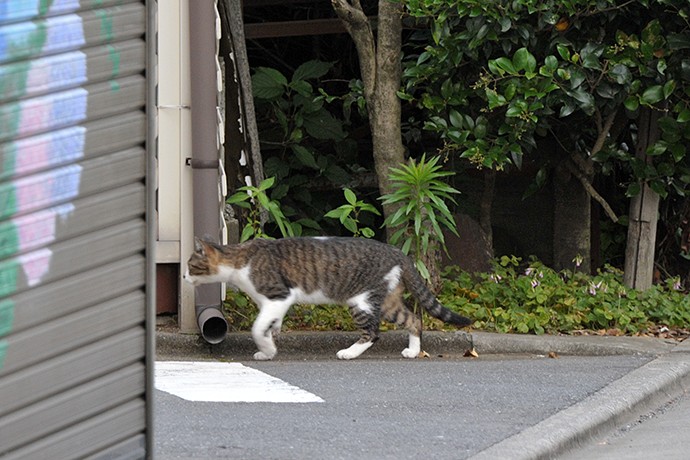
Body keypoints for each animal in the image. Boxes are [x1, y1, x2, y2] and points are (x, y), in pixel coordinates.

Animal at [185, 237, 470, 360]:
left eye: (189, 265)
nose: (184, 277)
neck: (239, 259)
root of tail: (398, 252)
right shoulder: (271, 304)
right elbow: (269, 326)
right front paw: (270, 345)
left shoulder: (279, 296)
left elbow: (257, 328)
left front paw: (268, 350)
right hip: (388, 299)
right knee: (413, 319)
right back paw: (413, 351)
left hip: (361, 300)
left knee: (373, 332)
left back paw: (350, 353)